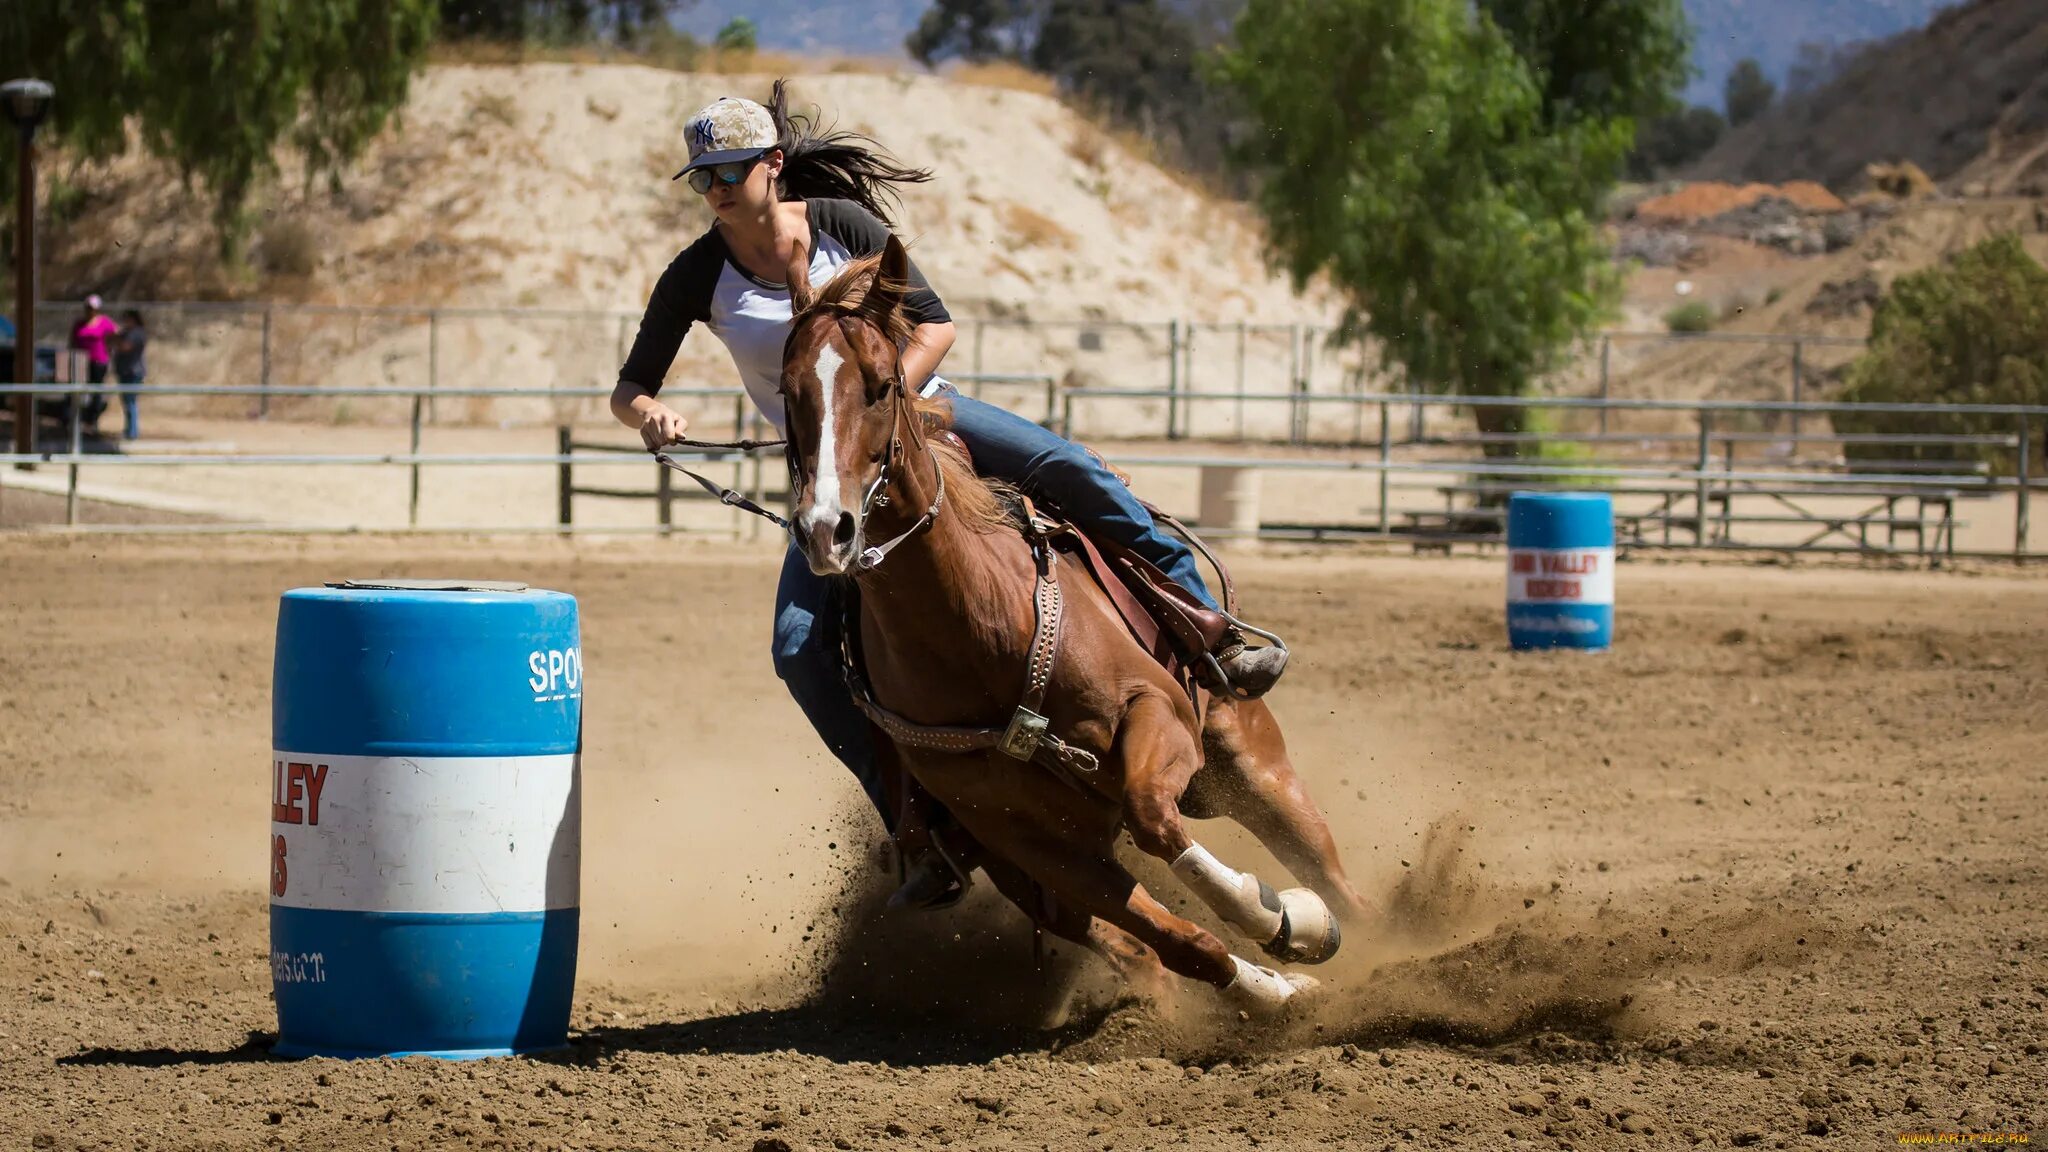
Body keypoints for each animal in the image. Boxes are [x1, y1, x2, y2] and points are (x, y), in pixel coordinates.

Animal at [778, 235, 1376, 1012]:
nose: (828, 530)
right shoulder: (1032, 844)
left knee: (1333, 874)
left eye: (882, 385)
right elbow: (1186, 941)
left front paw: (1279, 916)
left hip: (1249, 759)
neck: (977, 634)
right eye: (788, 393)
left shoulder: (1155, 714)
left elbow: (1155, 817)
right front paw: (1280, 975)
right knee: (1140, 945)